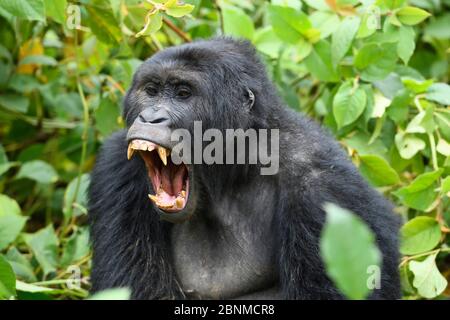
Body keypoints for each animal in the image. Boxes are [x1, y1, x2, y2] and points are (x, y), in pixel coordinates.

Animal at [89, 37, 400, 300]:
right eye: (151, 91)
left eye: (183, 93)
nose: (151, 117)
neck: (236, 165)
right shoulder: (115, 169)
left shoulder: (323, 190)